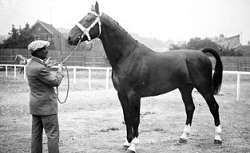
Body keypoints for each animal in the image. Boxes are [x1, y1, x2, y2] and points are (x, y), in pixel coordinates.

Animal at [68, 1, 223, 152]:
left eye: (88, 19)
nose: (70, 37)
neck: (127, 56)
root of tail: (201, 53)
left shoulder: (134, 95)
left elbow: (135, 119)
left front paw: (133, 145)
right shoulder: (121, 94)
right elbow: (127, 117)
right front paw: (127, 142)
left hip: (204, 88)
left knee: (214, 107)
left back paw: (218, 138)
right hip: (185, 88)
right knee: (190, 108)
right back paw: (183, 137)